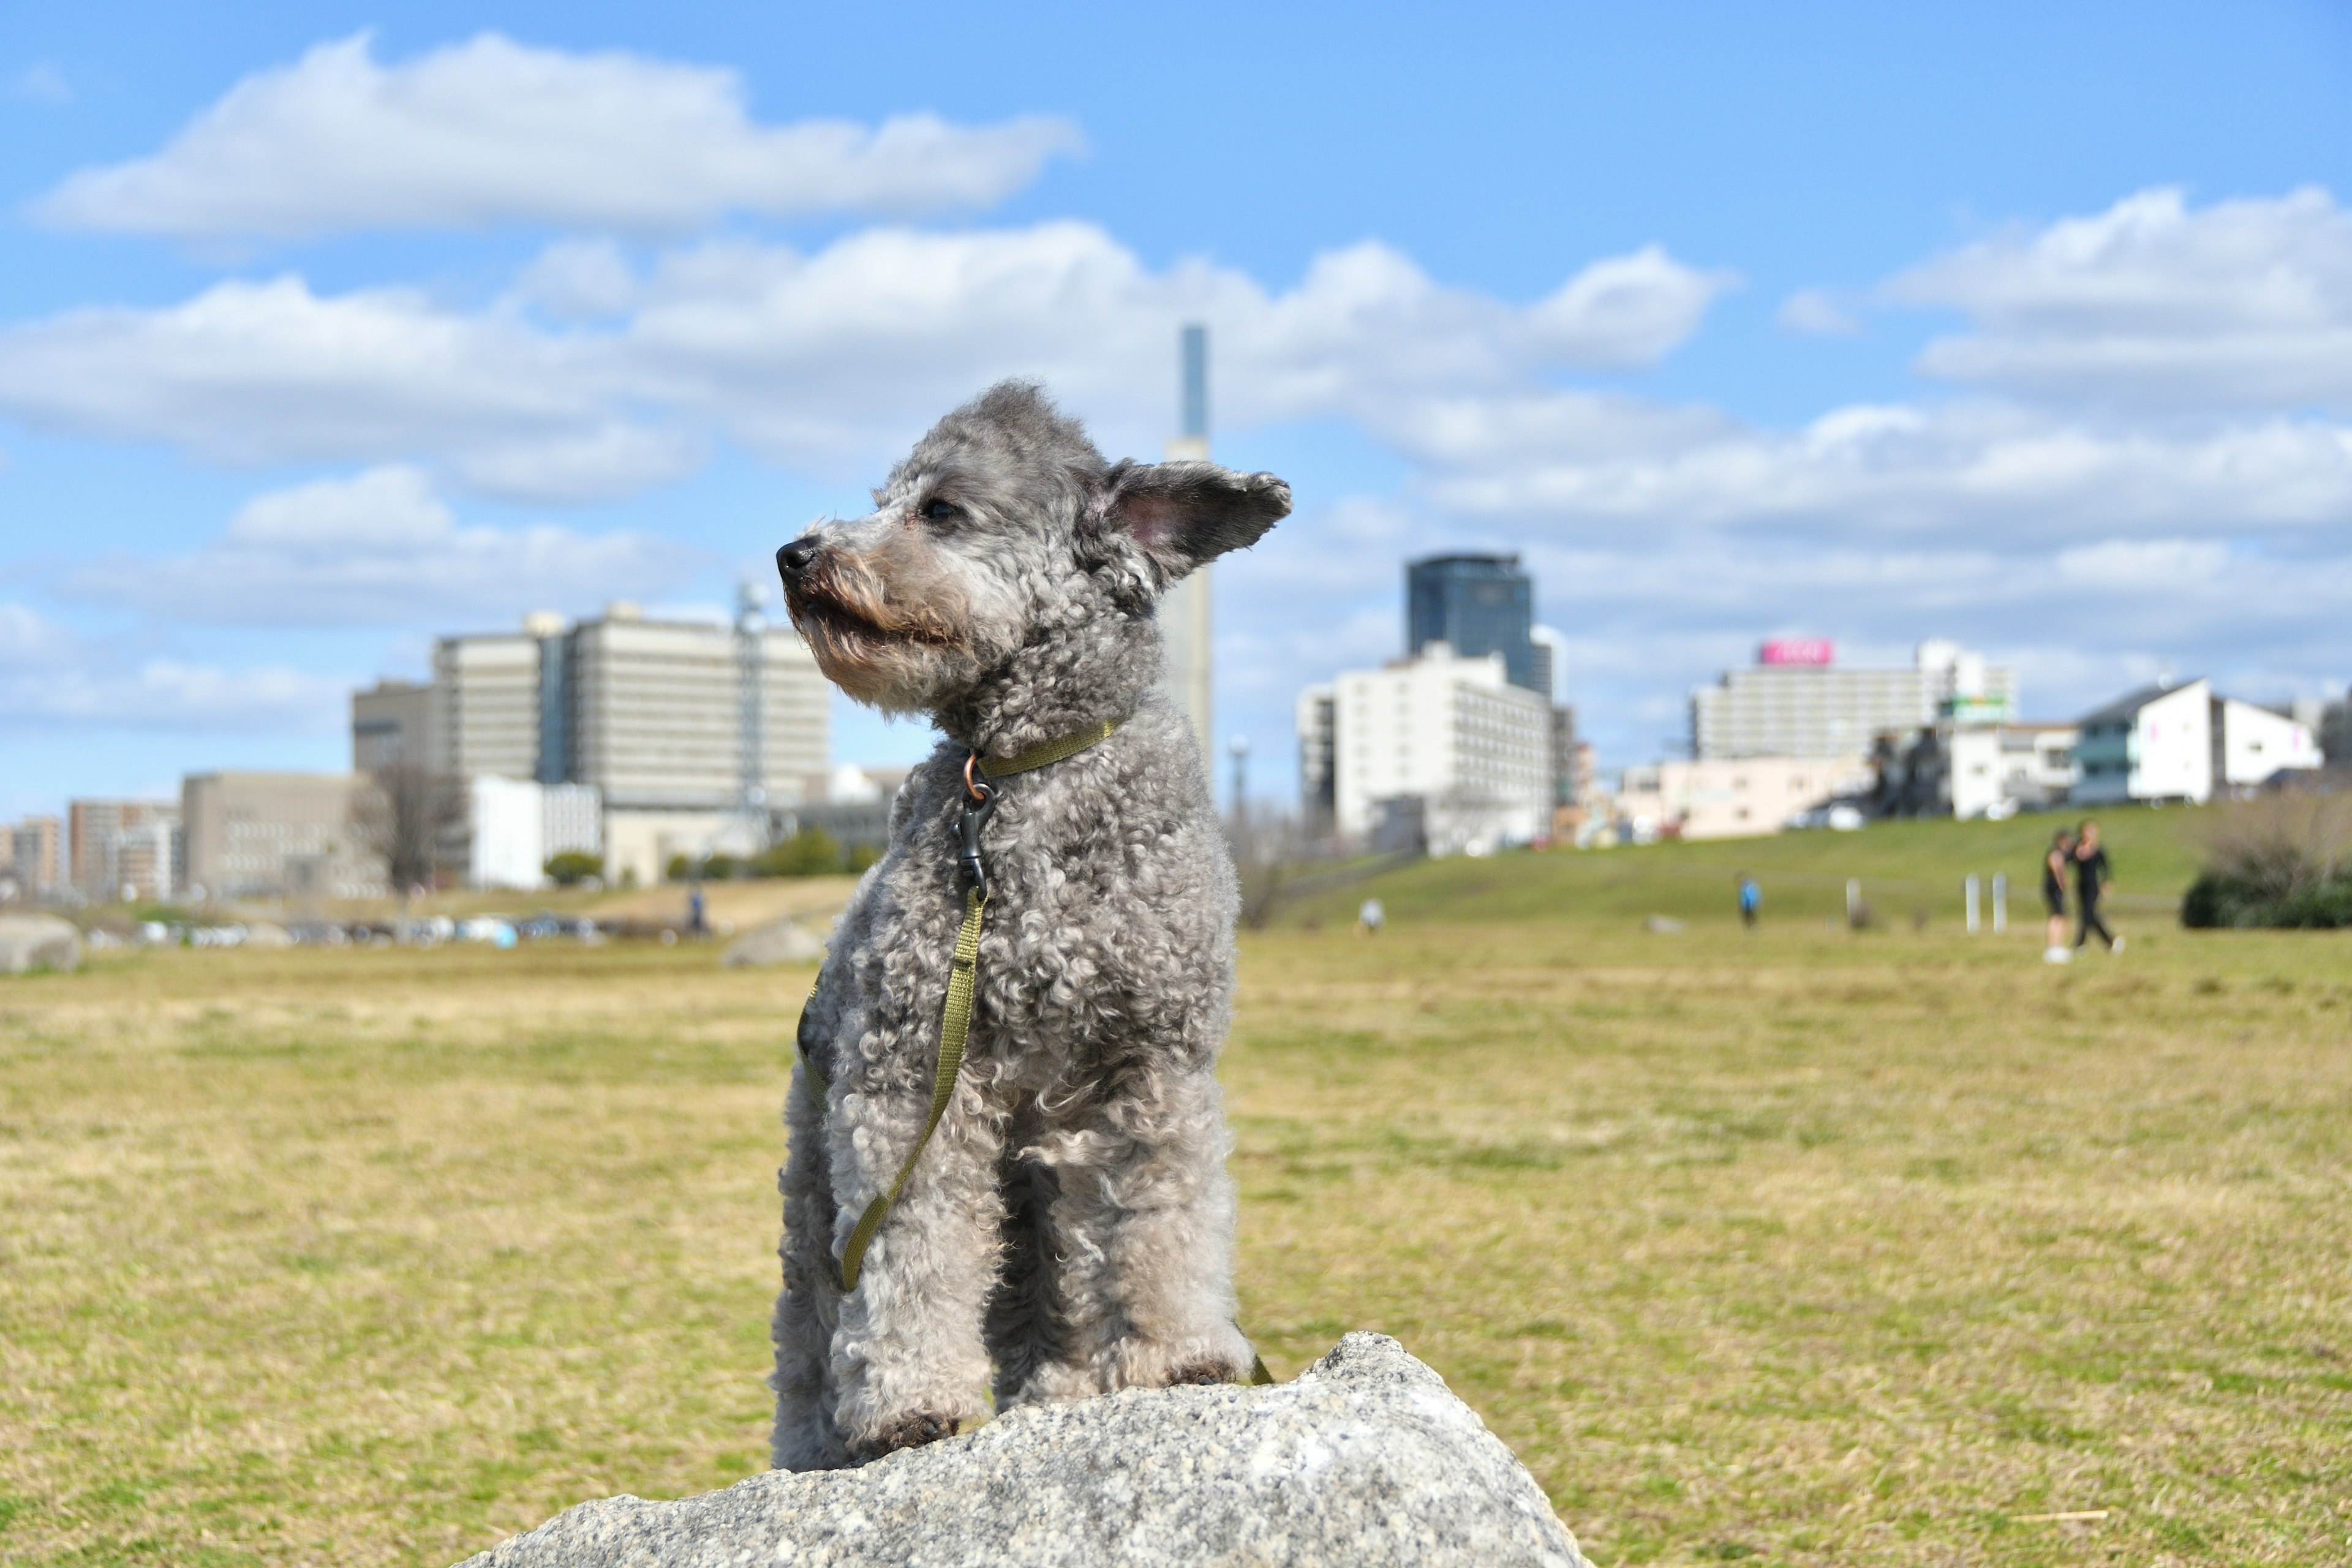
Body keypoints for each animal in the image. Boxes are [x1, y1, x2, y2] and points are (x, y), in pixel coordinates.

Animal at [766, 380, 1289, 1476]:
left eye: (940, 511)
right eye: (882, 501)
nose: (795, 554)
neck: (1023, 772)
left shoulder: (1150, 1070)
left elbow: (1165, 1220)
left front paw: (1181, 1355)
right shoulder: (910, 1084)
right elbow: (913, 1255)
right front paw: (909, 1405)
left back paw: (1066, 1388)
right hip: (818, 1179)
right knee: (811, 1321)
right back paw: (815, 1447)